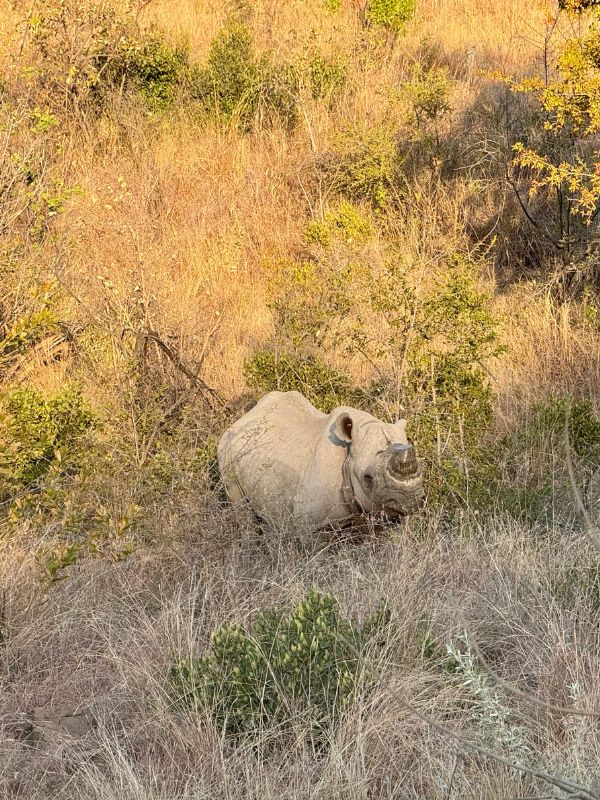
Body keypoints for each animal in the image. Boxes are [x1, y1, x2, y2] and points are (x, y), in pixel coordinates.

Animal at [217, 390, 424, 532]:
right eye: (368, 477)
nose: (410, 500)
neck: (348, 454)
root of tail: (242, 418)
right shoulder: (309, 526)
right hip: (225, 451)